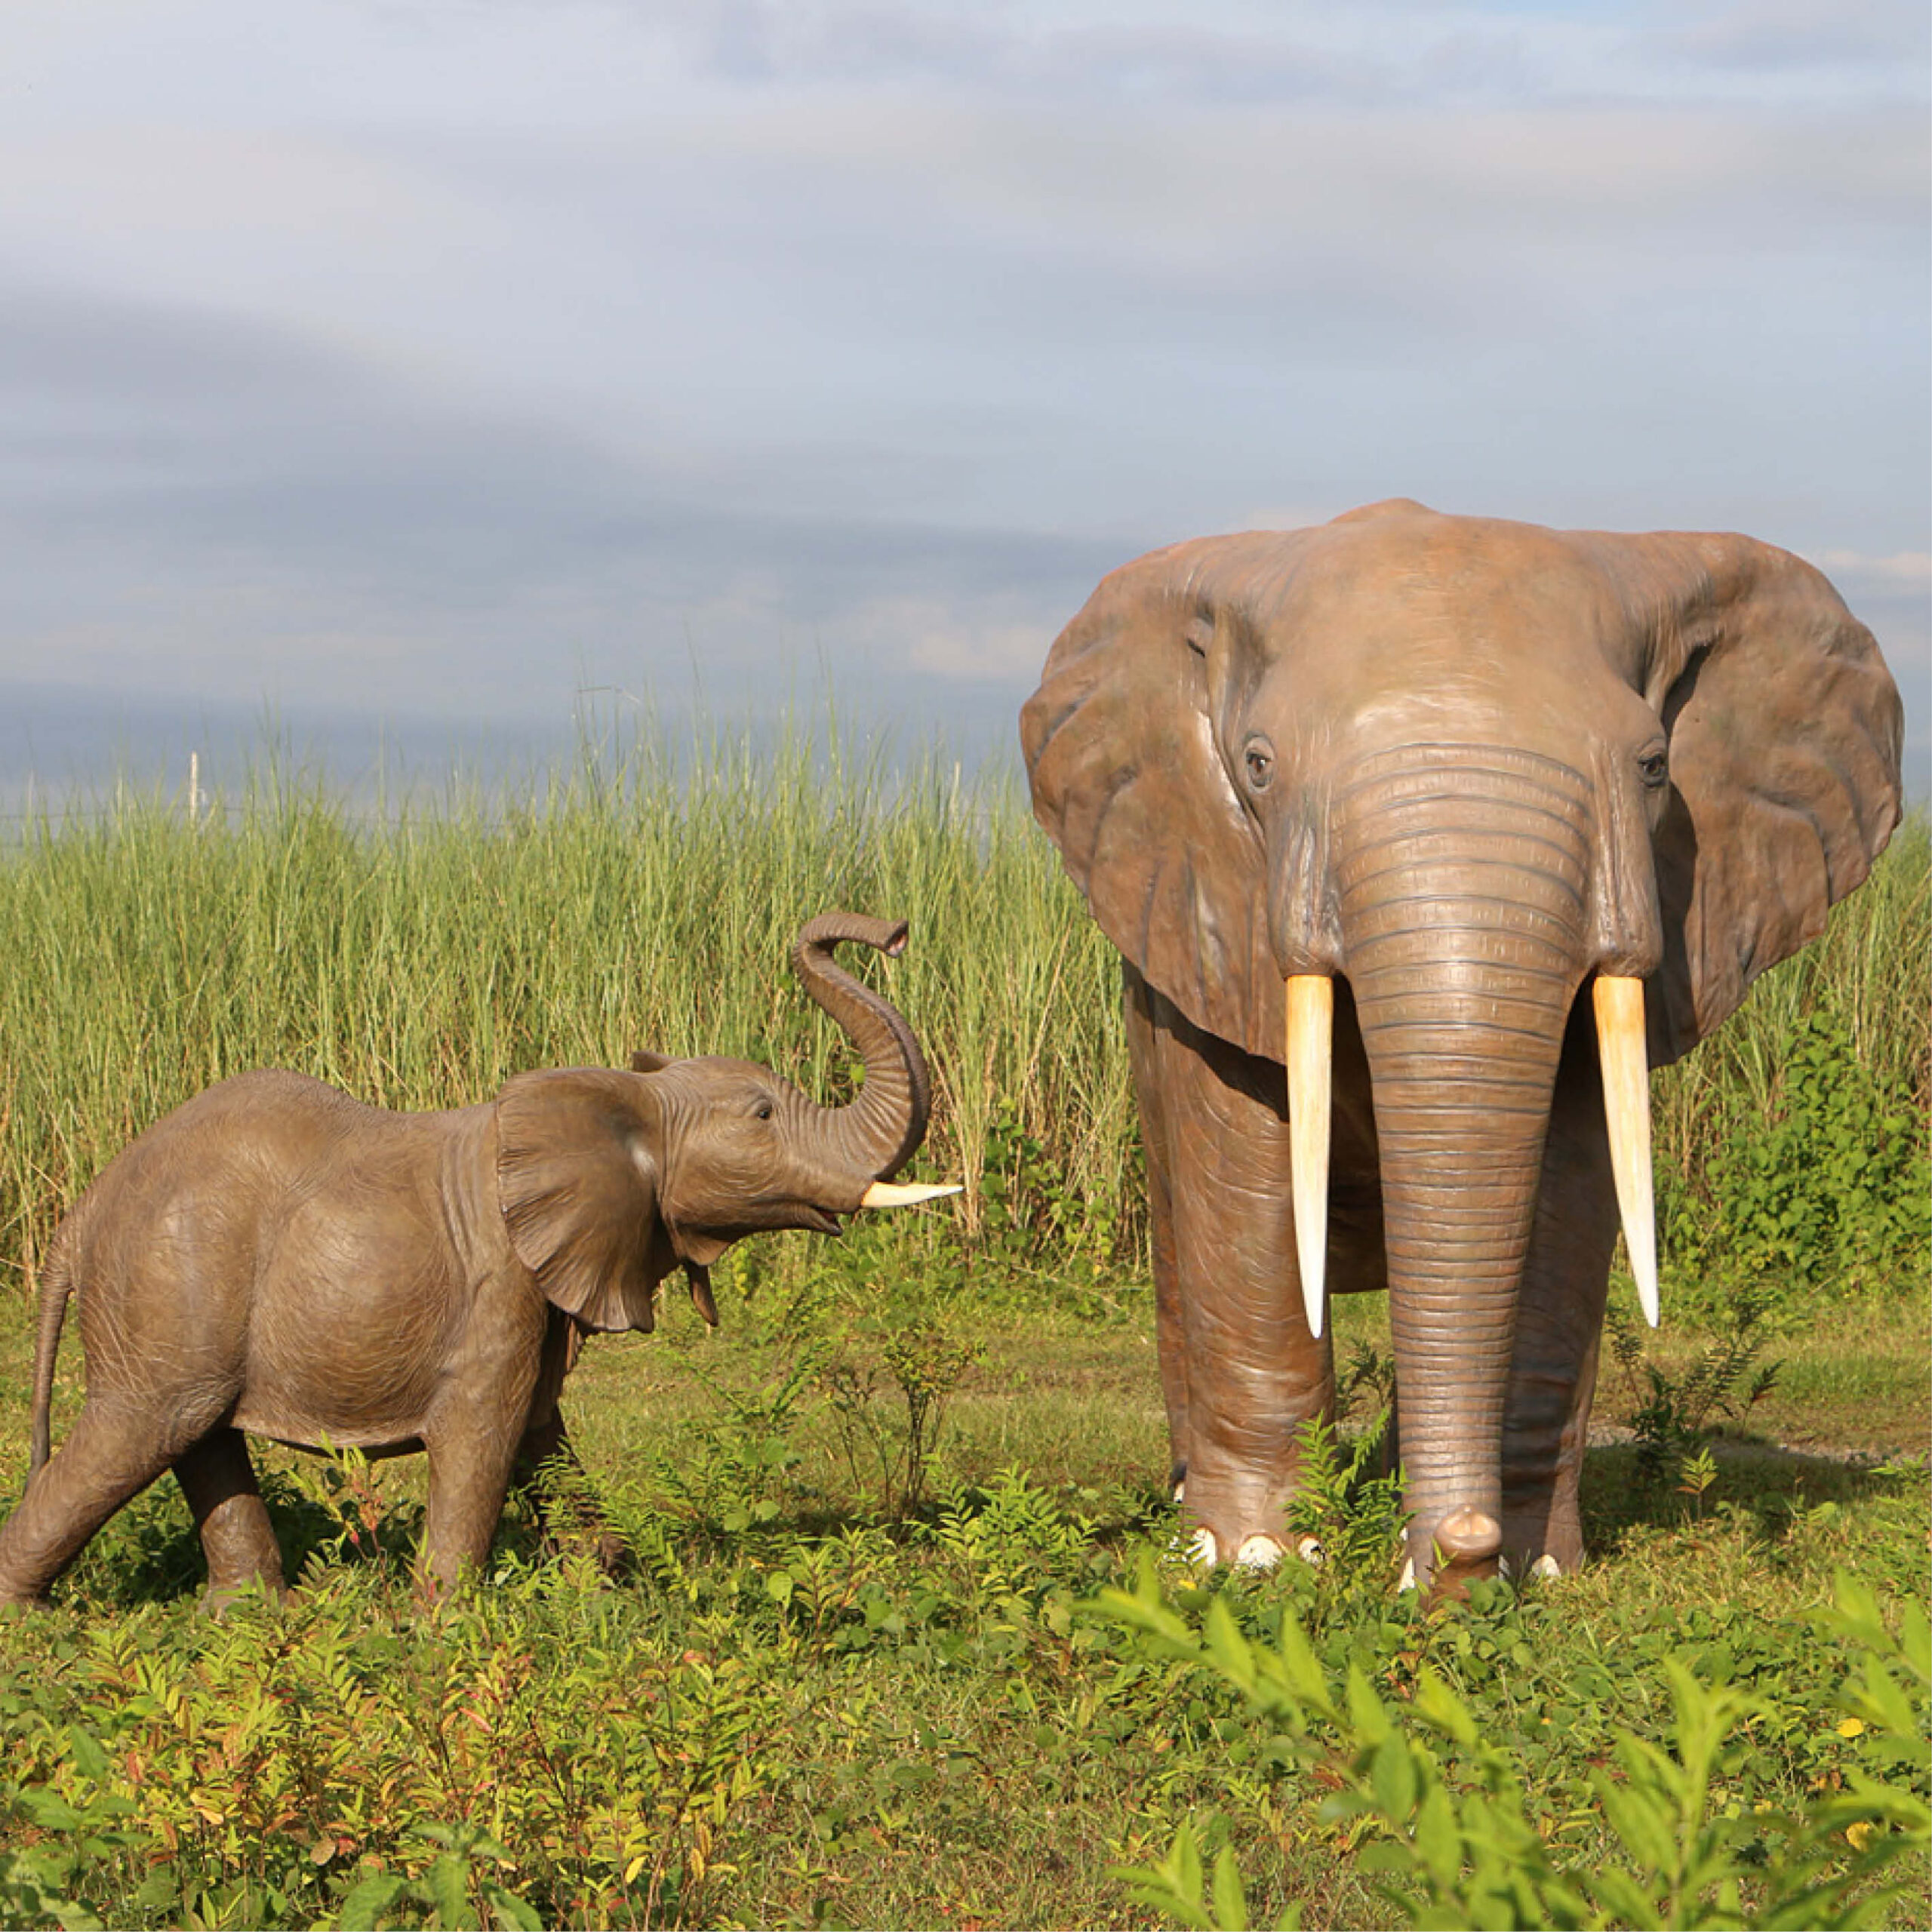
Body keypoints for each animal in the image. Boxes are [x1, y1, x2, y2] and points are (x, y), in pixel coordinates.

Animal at [0, 912, 956, 1606]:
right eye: (761, 1116)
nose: (894, 931)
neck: (624, 1096)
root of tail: (84, 1206)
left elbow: (540, 1432)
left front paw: (607, 1588)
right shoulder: (501, 1282)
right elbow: (481, 1432)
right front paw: (444, 1626)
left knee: (199, 1439)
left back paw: (251, 1618)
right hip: (167, 1285)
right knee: (135, 1436)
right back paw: (38, 1625)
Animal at [1020, 500, 1903, 1593]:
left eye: (1654, 767)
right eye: (1259, 767)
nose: (1458, 1553)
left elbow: (1565, 1201)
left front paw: (1534, 1567)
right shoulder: (1201, 906)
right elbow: (1248, 1172)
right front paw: (1259, 1561)